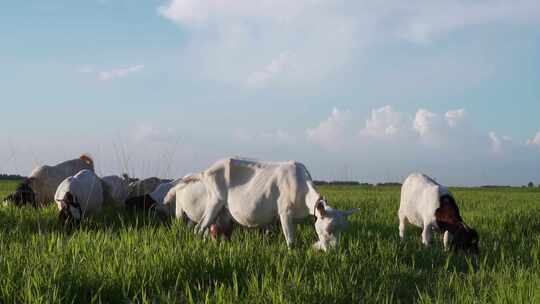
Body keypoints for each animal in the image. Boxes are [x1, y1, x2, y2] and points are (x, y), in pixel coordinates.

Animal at [179, 158, 360, 248]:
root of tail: (205, 172)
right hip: (214, 200)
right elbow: (290, 239)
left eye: (343, 229)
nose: (334, 251)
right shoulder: (284, 212)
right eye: (328, 229)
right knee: (199, 227)